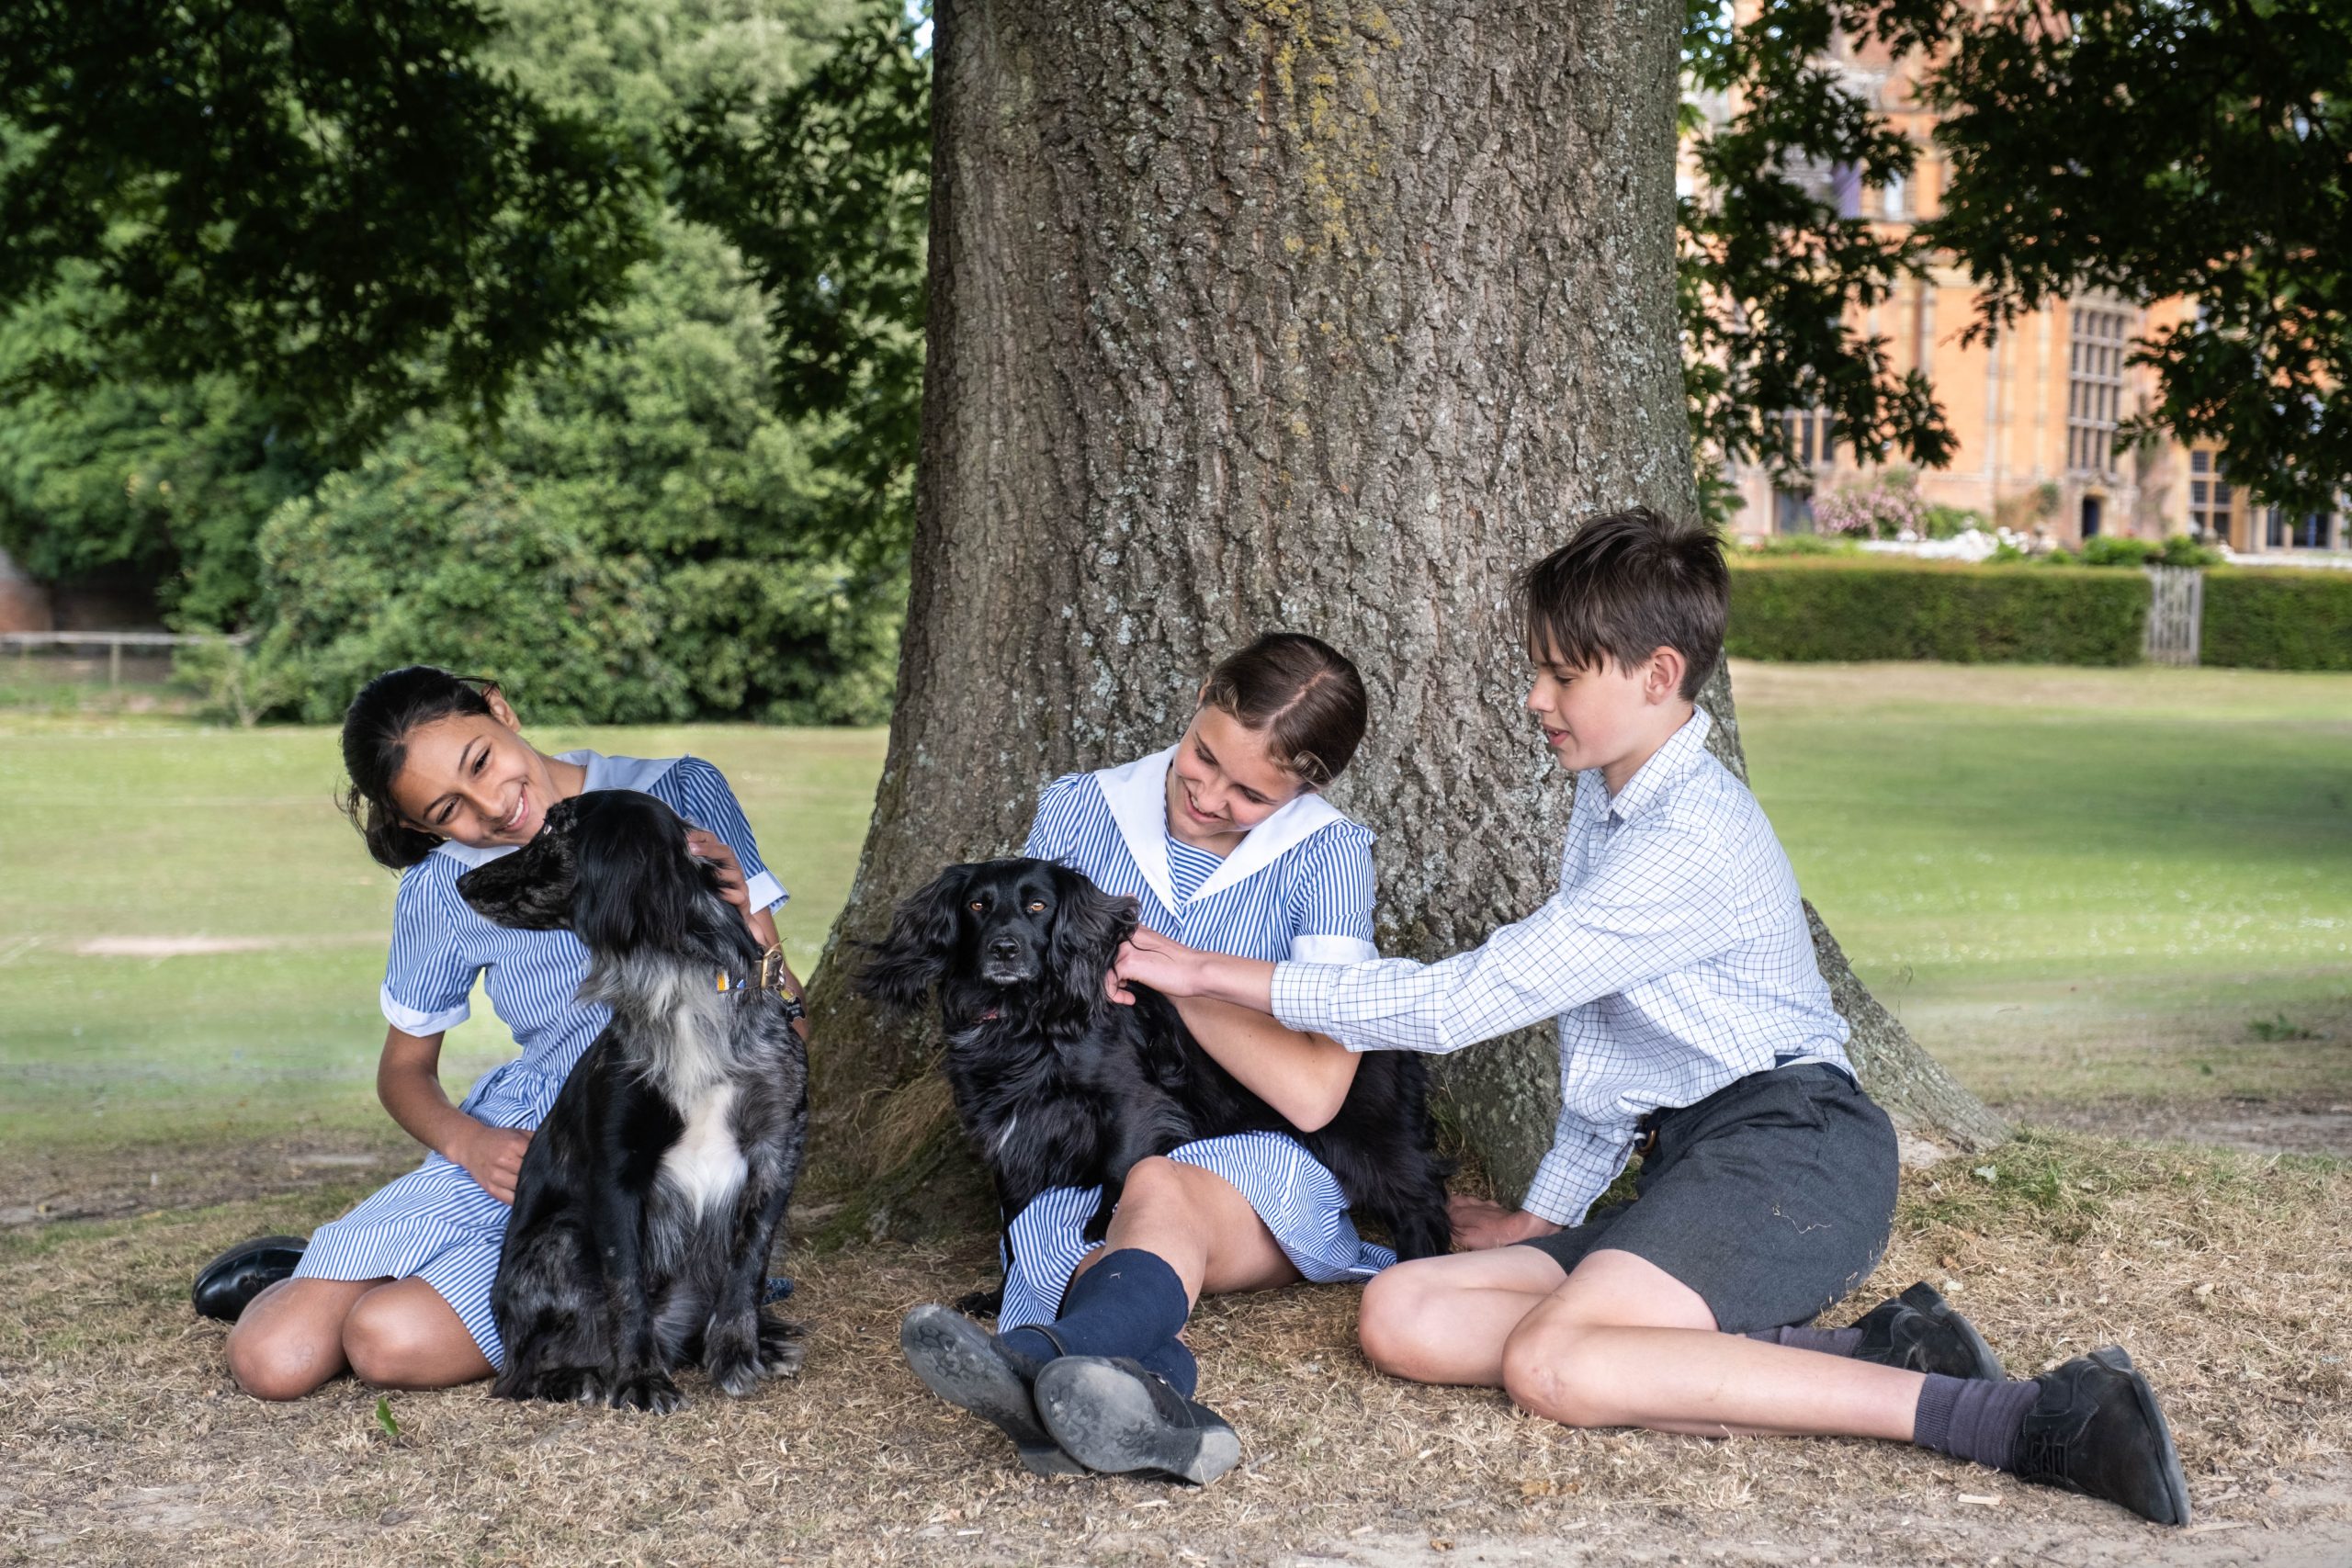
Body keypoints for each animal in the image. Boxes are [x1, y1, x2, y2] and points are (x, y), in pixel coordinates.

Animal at [454, 789, 813, 1419]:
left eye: (555, 828)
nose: (463, 881)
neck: (683, 988)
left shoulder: (776, 1149)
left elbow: (749, 1263)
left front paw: (738, 1353)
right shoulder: (617, 1167)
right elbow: (626, 1286)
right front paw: (641, 1378)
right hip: (563, 1236)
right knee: (520, 1372)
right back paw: (579, 1375)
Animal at [865, 860, 1448, 1259]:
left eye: (1038, 906)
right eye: (976, 907)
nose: (1004, 950)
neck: (1025, 1020)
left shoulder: (1130, 1102)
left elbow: (1120, 1166)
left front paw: (1102, 1225)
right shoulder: (1008, 1130)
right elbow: (1013, 1226)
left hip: (1366, 1133)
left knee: (1422, 1195)